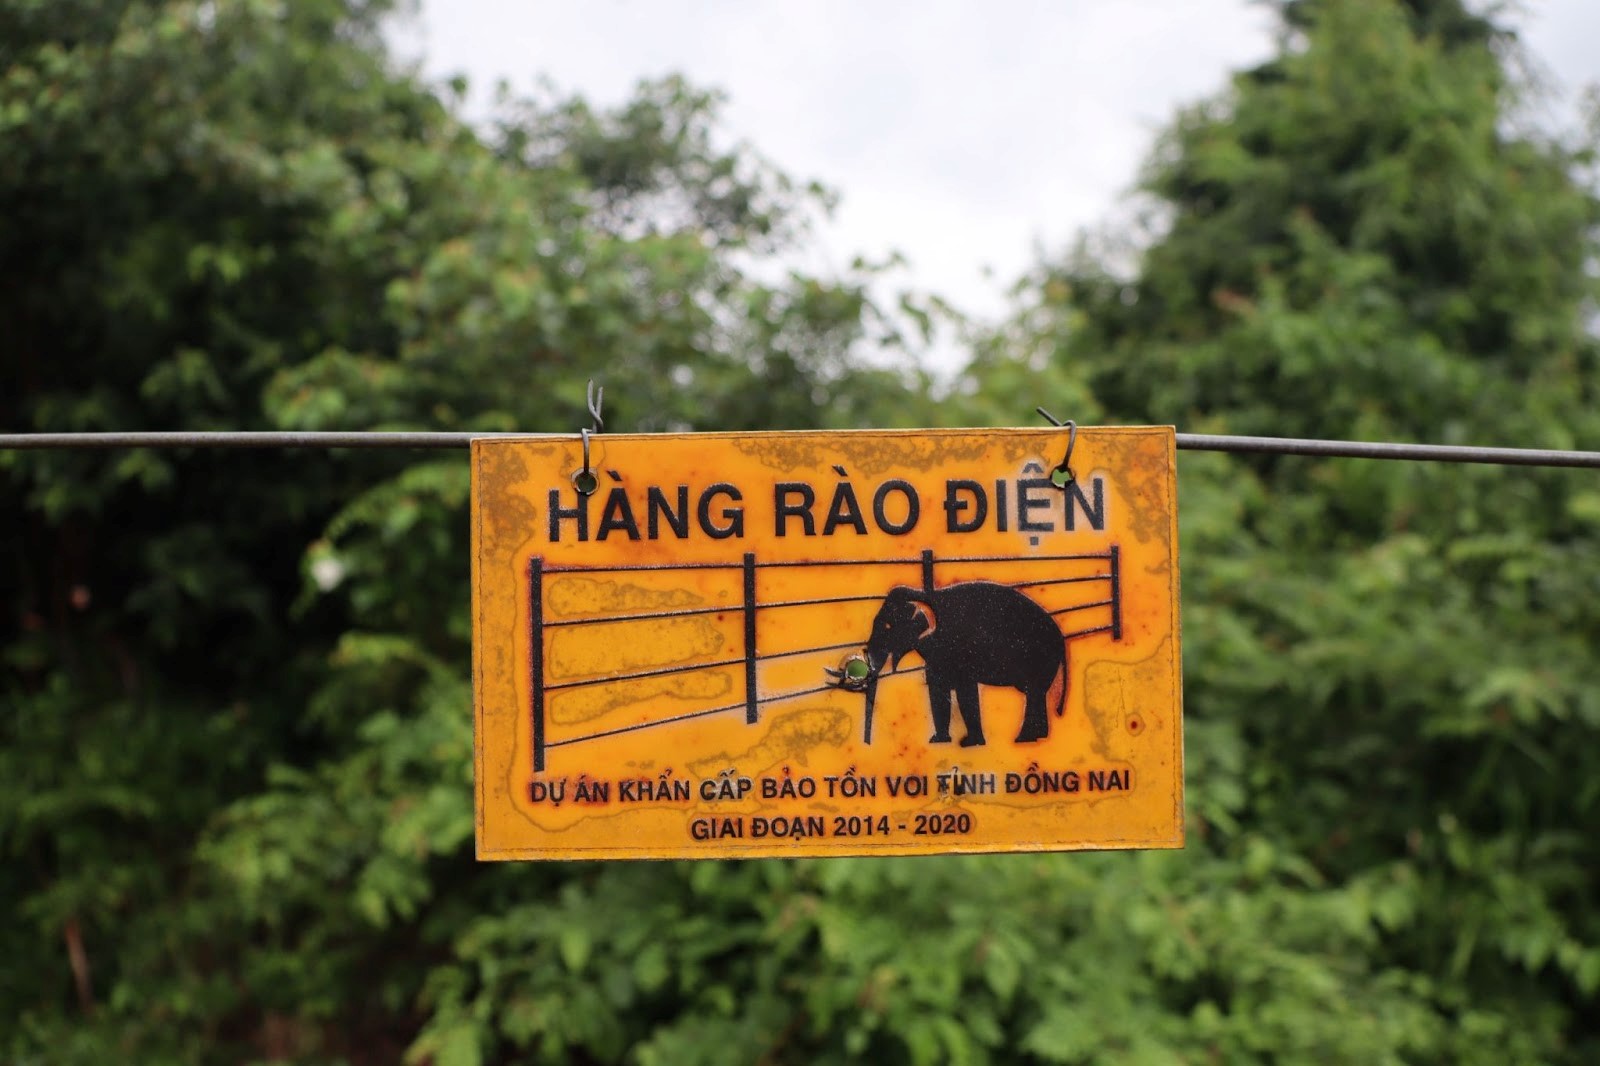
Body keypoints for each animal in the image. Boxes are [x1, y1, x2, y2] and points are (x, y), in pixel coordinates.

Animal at [862, 582, 1068, 747]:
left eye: (887, 626)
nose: (867, 743)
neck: (925, 595)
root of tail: (1061, 640)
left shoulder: (960, 650)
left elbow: (965, 692)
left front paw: (969, 743)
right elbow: (937, 690)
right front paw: (939, 741)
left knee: (1033, 693)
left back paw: (1024, 739)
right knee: (1037, 695)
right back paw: (1039, 737)